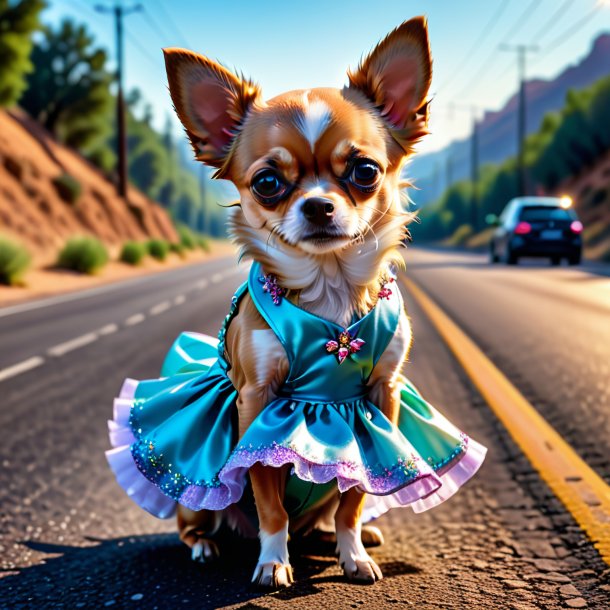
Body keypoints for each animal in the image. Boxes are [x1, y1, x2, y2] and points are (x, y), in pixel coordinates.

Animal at [162, 17, 432, 584]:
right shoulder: (257, 401)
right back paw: (206, 546)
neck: (330, 289)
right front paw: (272, 563)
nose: (317, 205)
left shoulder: (381, 397)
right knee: (196, 523)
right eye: (267, 182)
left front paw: (353, 553)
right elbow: (269, 502)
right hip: (196, 502)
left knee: (329, 512)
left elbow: (357, 493)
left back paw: (342, 536)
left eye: (365, 171)